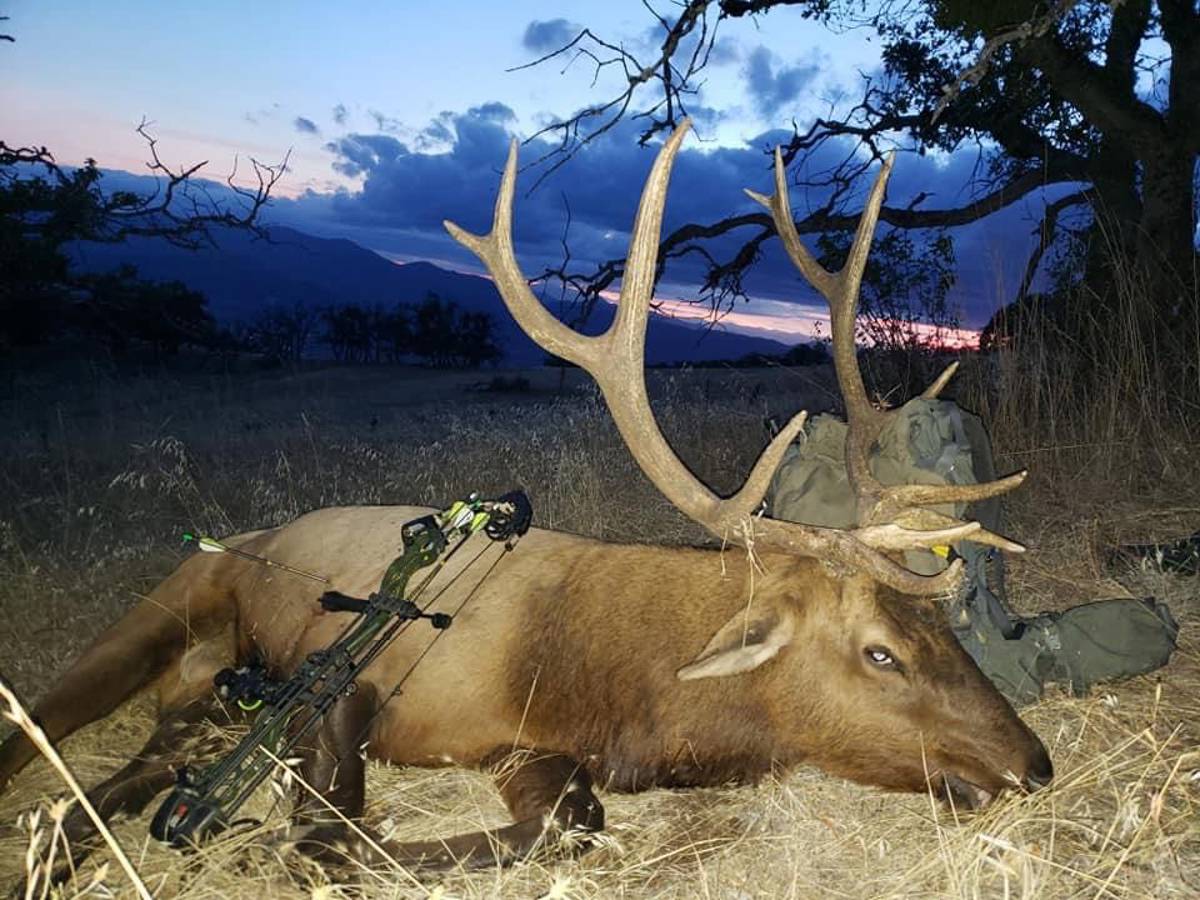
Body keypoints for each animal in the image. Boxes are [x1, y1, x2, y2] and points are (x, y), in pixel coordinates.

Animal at [0, 120, 1051, 883]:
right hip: (158, 611)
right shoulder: (354, 675)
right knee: (41, 728)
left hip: (193, 690)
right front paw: (308, 840)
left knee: (140, 761)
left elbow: (569, 822)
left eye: (942, 630)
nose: (1032, 763)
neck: (605, 686)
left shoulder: (530, 747)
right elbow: (339, 806)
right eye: (880, 653)